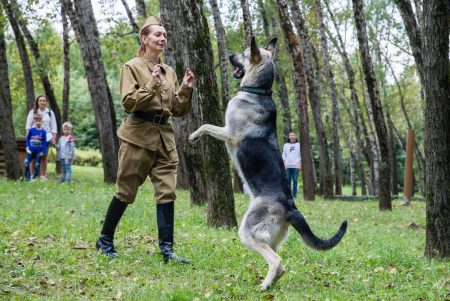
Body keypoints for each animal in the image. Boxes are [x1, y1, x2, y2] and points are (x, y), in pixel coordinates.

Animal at [188, 36, 346, 290]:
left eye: (243, 53)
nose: (229, 55)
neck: (258, 92)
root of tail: (291, 208)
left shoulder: (228, 133)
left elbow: (205, 125)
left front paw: (193, 135)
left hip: (248, 231)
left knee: (277, 260)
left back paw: (264, 285)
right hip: (270, 238)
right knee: (281, 264)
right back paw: (270, 283)